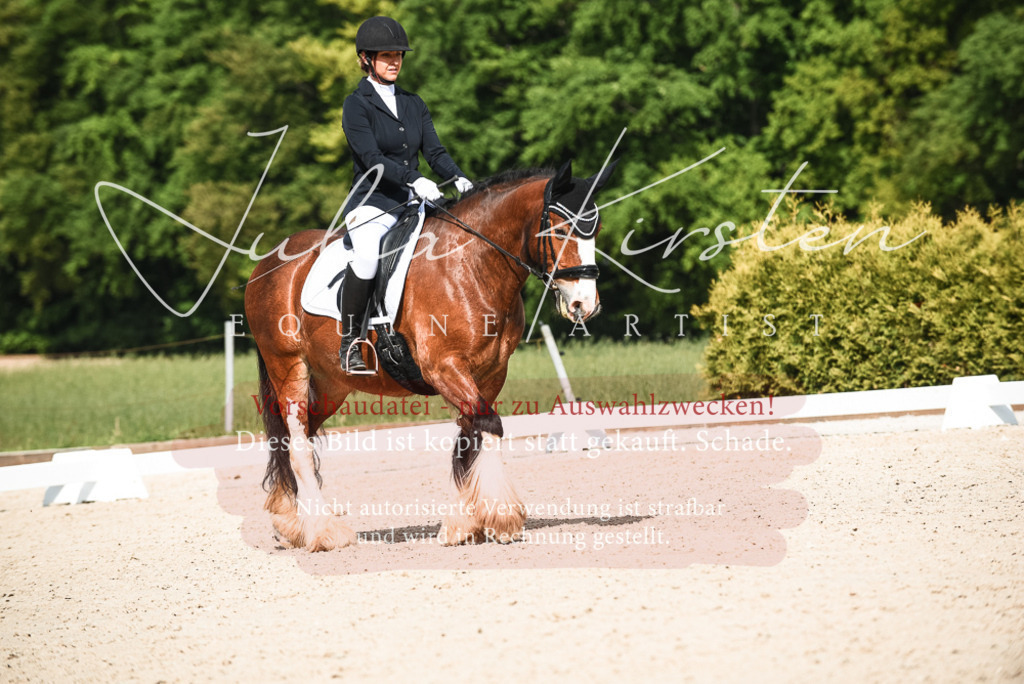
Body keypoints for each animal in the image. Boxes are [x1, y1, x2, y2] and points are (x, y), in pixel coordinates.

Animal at [244, 159, 617, 551]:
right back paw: (324, 532)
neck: (472, 264)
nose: (585, 305)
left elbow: (471, 436)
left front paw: (463, 525)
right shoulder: (445, 367)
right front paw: (502, 518)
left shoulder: (490, 373)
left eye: (595, 230)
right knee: (297, 443)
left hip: (333, 382)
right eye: (560, 230)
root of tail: (267, 263)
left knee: (298, 435)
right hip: (288, 366)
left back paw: (290, 525)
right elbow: (489, 426)